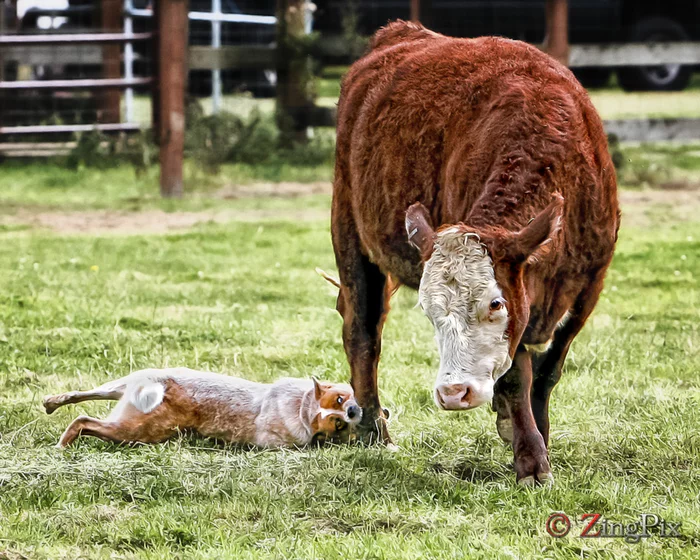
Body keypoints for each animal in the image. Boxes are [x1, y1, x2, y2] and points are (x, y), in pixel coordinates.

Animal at [43, 368, 360, 450]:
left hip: (128, 385)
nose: (354, 412)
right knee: (83, 420)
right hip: (135, 432)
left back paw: (53, 402)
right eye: (339, 402)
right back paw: (62, 444)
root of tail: (159, 386)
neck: (303, 407)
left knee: (81, 396)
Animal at [330, 20, 620, 486]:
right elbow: (518, 376)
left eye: (495, 304)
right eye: (429, 311)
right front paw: (531, 458)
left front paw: (538, 431)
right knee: (362, 331)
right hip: (350, 231)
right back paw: (375, 430)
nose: (453, 393)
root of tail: (402, 34)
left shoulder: (591, 281)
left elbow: (549, 368)